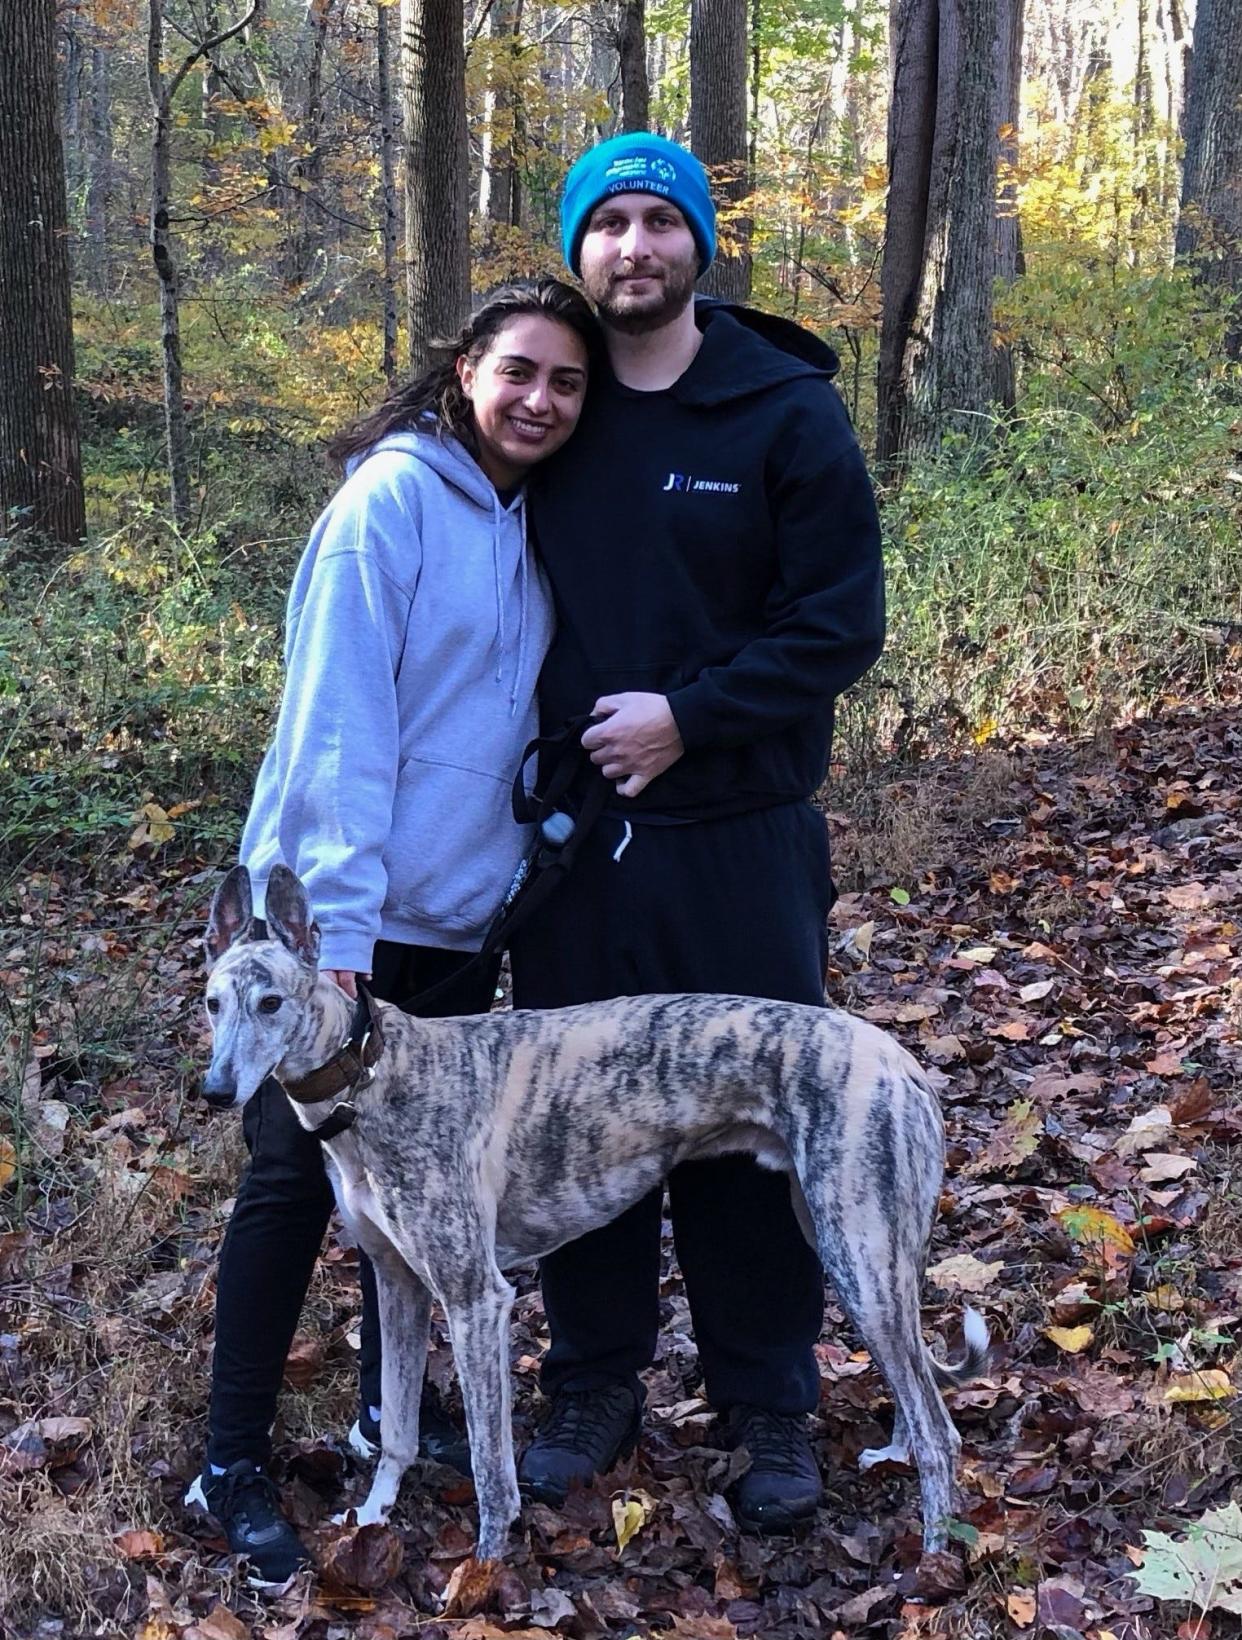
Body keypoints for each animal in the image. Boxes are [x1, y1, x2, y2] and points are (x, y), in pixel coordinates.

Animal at [200, 865, 990, 1554]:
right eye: (212, 1003)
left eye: (271, 1003)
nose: (216, 1090)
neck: (371, 1073)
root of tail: (902, 1062)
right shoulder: (397, 1282)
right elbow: (395, 1426)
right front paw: (371, 1519)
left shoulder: (475, 1298)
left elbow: (491, 1466)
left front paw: (486, 1566)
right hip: (853, 1245)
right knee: (917, 1392)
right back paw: (894, 1462)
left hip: (859, 1258)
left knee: (940, 1431)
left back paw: (930, 1562)